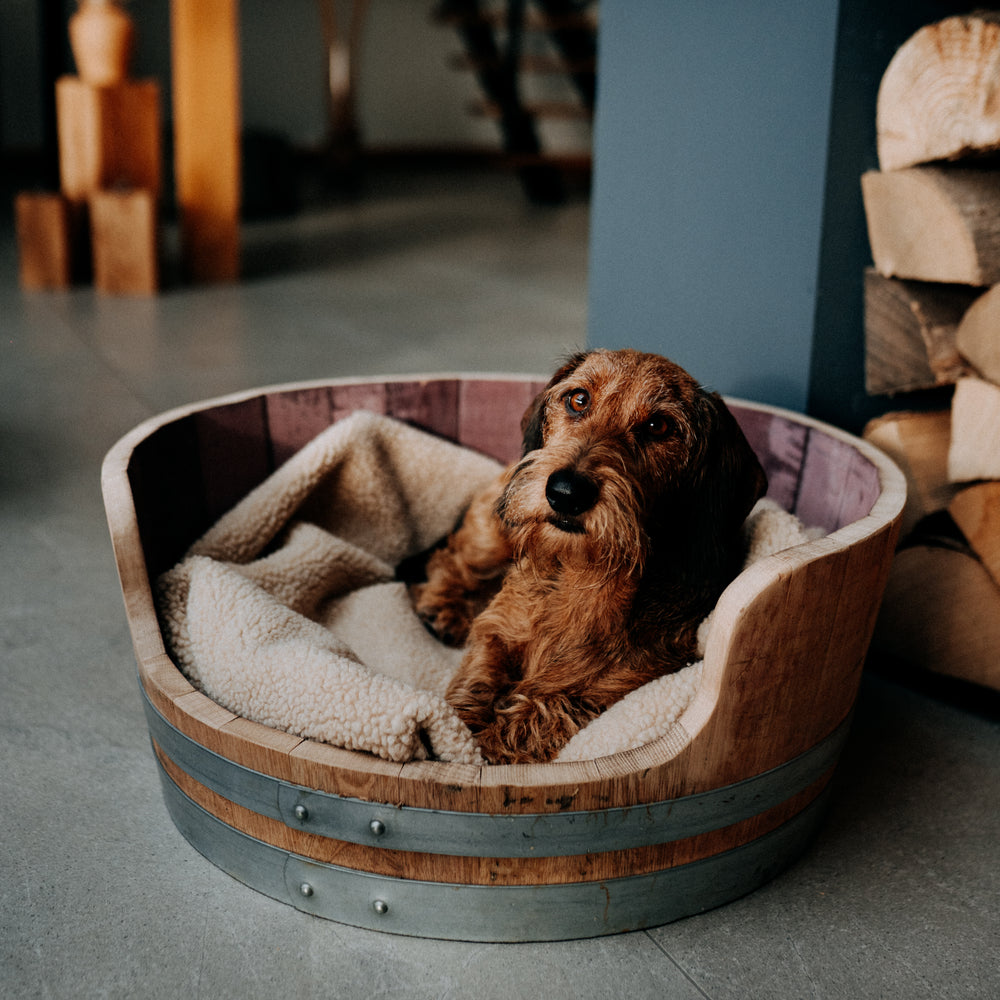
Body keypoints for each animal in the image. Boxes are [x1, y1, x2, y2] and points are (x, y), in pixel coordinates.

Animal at [406, 348, 764, 760]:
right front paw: (458, 735)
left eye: (659, 426)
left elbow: (542, 712)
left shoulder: (614, 689)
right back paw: (443, 607)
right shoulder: (497, 631)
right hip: (497, 529)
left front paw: (486, 745)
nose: (565, 492)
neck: (582, 573)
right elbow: (479, 675)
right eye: (578, 399)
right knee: (452, 558)